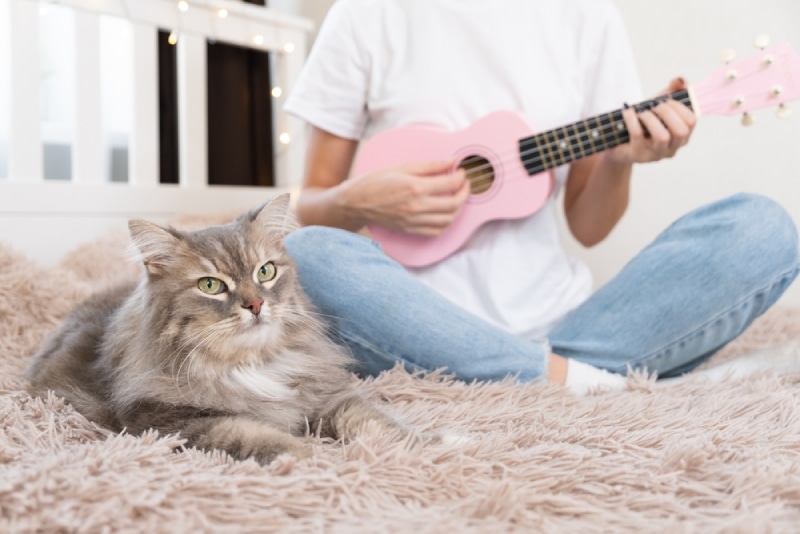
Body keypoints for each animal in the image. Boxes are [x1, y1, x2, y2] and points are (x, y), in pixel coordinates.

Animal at [25, 195, 406, 466]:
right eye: (210, 286)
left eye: (265, 272)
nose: (255, 304)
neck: (249, 365)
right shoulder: (174, 424)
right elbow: (258, 437)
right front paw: (315, 462)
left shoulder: (327, 397)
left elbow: (374, 422)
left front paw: (412, 450)